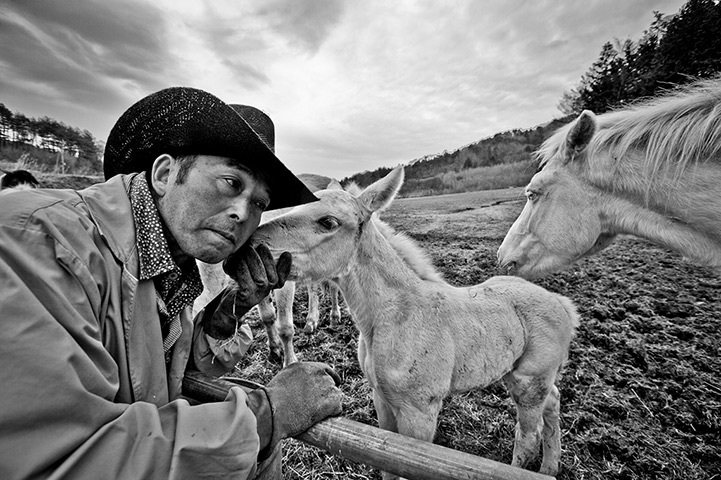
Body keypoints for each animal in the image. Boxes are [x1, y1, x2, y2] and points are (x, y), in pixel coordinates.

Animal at [250, 167, 576, 478]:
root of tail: (563, 305)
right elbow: (387, 463)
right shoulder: (382, 400)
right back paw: (550, 468)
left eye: (328, 222)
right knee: (553, 403)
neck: (396, 314)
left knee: (528, 437)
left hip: (529, 383)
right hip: (522, 375)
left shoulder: (419, 411)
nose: (252, 246)